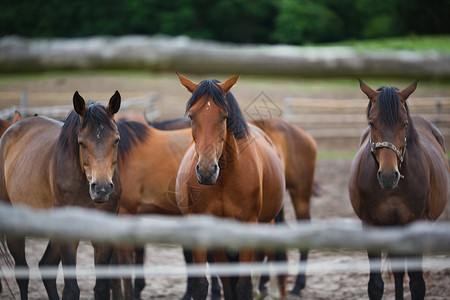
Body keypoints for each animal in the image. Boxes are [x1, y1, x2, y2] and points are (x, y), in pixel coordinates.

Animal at [0, 92, 122, 300]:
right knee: (23, 274)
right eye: (81, 142)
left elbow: (101, 289)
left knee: (45, 265)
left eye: (116, 140)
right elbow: (71, 289)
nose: (102, 189)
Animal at [176, 73, 284, 300]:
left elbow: (243, 287)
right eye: (191, 117)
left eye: (224, 117)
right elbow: (203, 285)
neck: (223, 181)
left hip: (267, 224)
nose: (207, 170)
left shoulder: (249, 226)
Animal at [348, 80, 450, 300]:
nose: (388, 176)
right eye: (372, 123)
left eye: (404, 124)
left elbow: (417, 284)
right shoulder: (371, 225)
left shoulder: (416, 225)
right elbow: (376, 285)